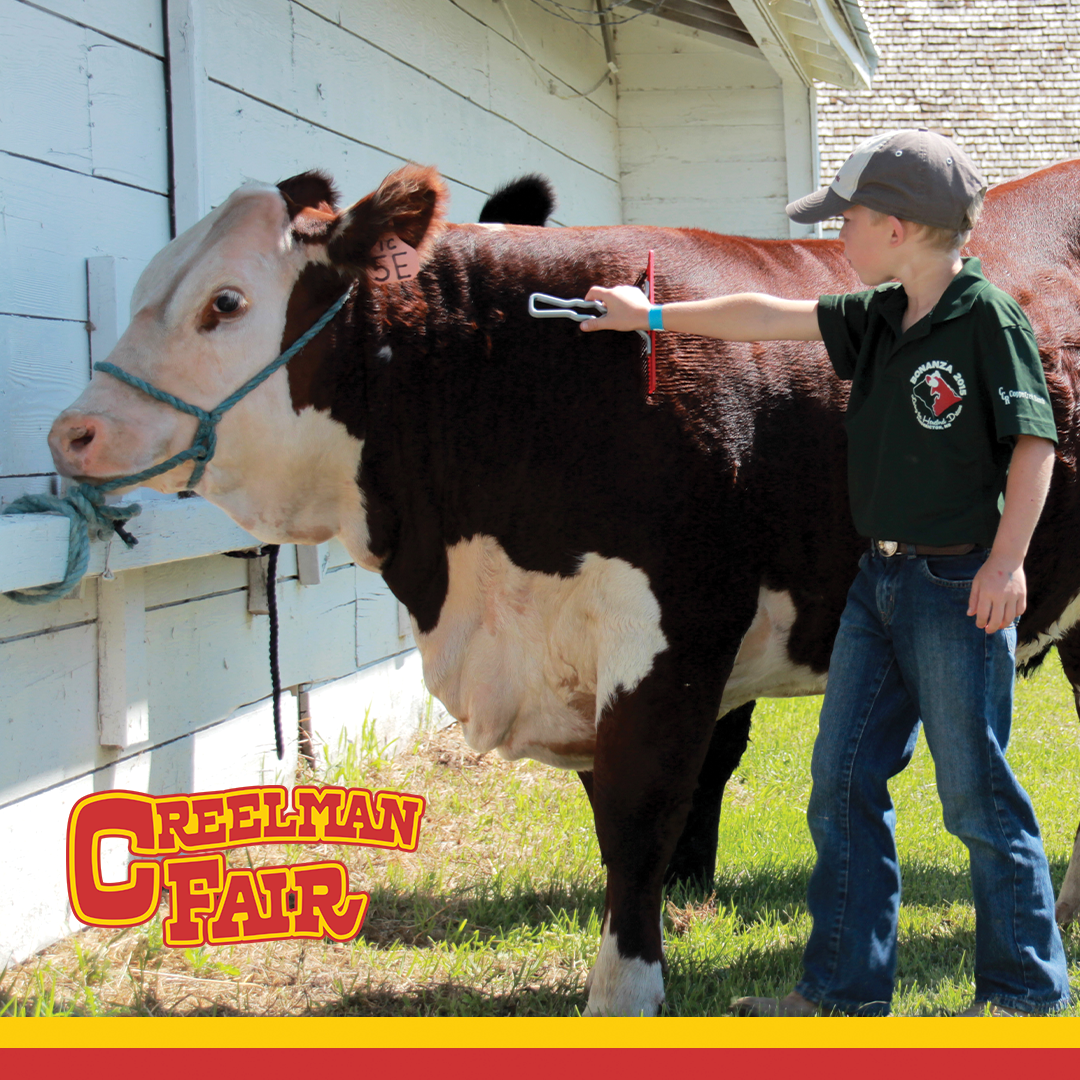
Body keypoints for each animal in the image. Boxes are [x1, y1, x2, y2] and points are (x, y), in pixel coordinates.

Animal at [46, 158, 1080, 1015]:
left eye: (224, 303)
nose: (73, 433)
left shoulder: (676, 634)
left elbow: (641, 809)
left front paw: (623, 994)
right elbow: (613, 814)